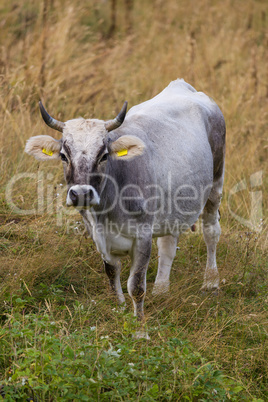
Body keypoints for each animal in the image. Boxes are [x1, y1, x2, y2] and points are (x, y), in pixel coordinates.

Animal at [25, 78, 226, 336]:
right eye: (63, 155)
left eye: (103, 155)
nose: (81, 194)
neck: (106, 213)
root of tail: (182, 86)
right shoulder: (99, 237)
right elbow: (112, 276)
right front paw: (119, 311)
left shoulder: (142, 237)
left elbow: (136, 285)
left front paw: (140, 329)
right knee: (168, 245)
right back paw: (162, 289)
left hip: (216, 183)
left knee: (211, 232)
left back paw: (211, 282)